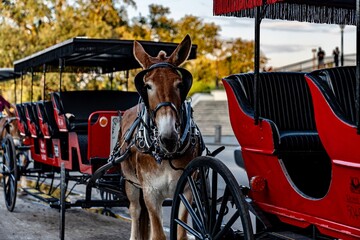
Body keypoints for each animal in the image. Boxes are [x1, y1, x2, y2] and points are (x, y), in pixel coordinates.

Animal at [118, 34, 202, 239]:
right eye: (147, 86)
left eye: (180, 84)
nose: (168, 136)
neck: (165, 155)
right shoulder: (151, 192)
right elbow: (157, 234)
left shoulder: (186, 190)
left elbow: (180, 234)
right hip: (131, 183)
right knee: (135, 210)